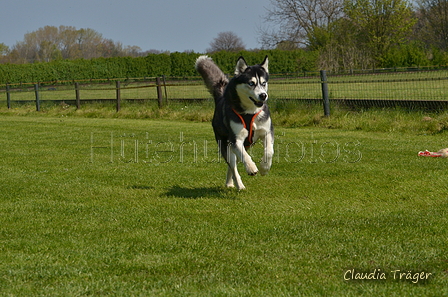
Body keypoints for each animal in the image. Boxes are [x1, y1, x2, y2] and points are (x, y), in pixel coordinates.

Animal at [195, 55, 272, 190]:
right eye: (251, 83)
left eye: (263, 83)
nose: (263, 95)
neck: (250, 111)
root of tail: (221, 97)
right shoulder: (236, 139)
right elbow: (244, 156)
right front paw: (251, 167)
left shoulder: (267, 132)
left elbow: (269, 151)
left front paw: (264, 168)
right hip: (226, 146)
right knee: (233, 165)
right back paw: (238, 185)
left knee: (232, 165)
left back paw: (229, 183)